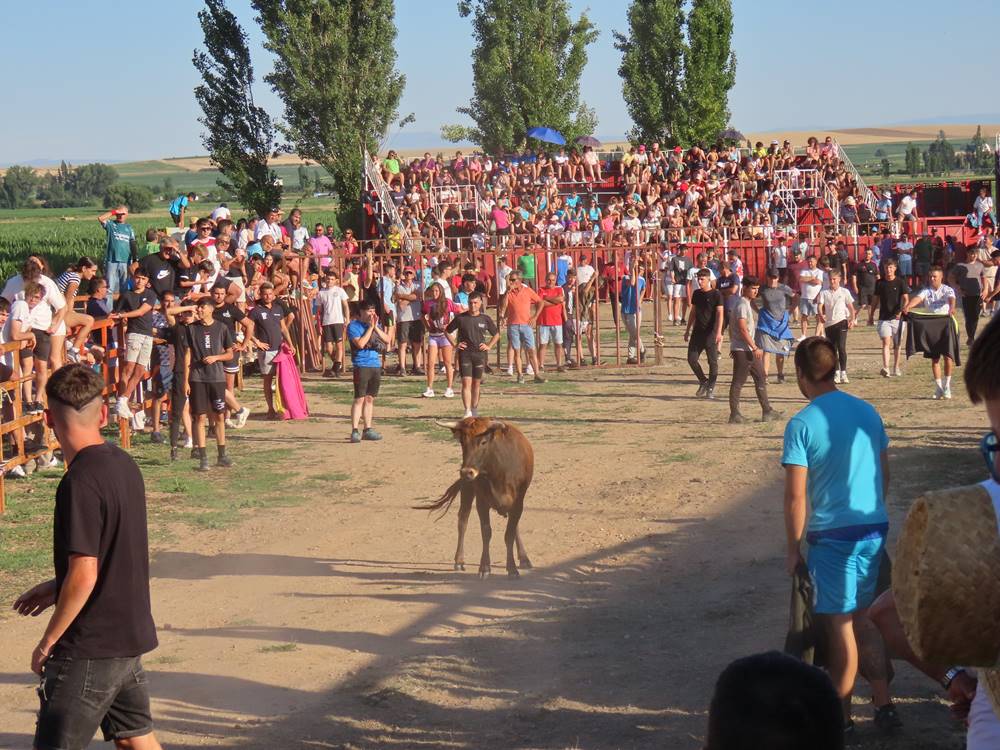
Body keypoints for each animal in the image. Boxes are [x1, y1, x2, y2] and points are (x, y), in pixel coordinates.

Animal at [412, 418, 532, 576]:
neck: (499, 471)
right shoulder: (482, 501)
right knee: (463, 520)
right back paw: (459, 561)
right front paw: (484, 568)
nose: (466, 472)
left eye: (483, 441)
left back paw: (524, 558)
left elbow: (509, 534)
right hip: (467, 489)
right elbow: (486, 532)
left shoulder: (518, 502)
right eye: (462, 441)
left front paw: (512, 569)